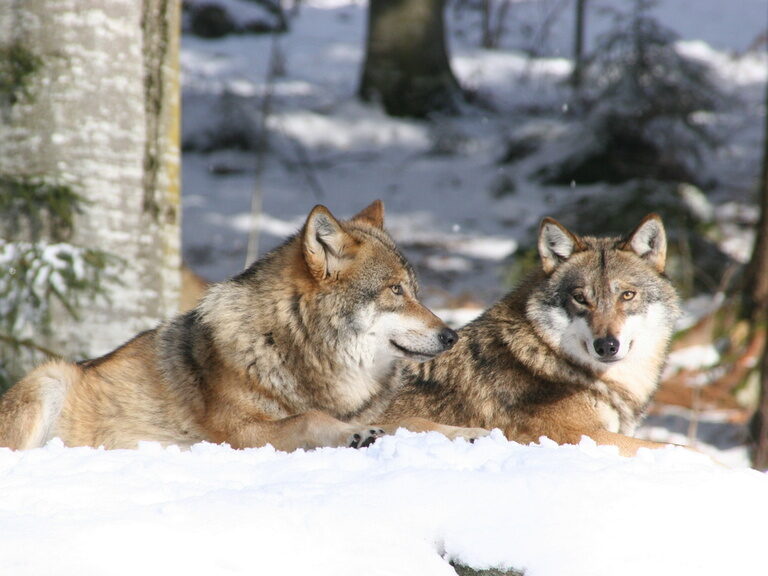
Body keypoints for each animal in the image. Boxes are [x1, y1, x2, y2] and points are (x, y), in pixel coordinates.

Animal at [0, 201, 486, 451]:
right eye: (395, 291)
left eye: (415, 290)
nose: (451, 335)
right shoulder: (241, 434)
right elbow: (311, 418)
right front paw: (355, 434)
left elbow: (416, 420)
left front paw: (470, 434)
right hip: (50, 377)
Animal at [383, 214, 681, 456]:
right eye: (580, 298)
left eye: (627, 295)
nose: (607, 346)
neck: (547, 357)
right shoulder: (577, 436)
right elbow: (678, 447)